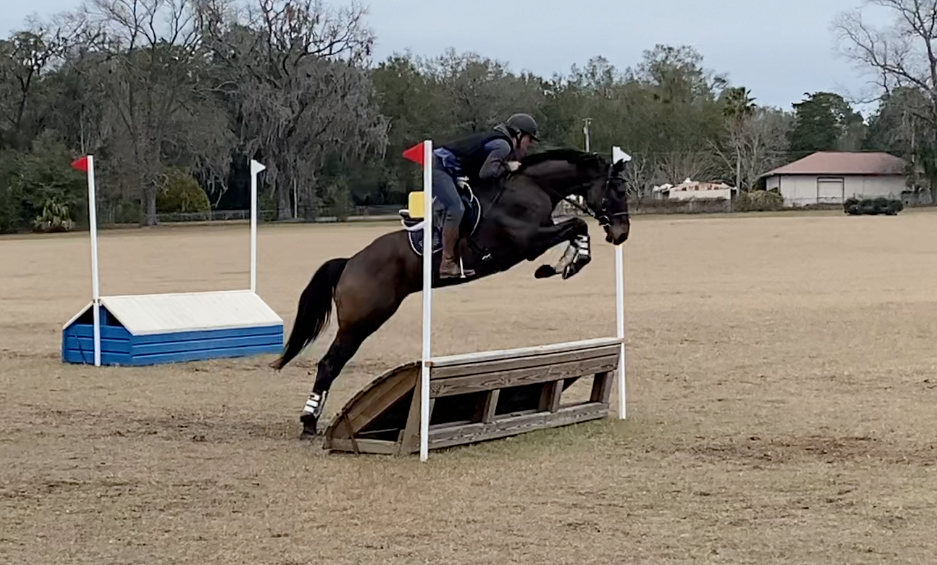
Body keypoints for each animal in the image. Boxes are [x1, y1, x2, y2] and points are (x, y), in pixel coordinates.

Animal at [270, 148, 632, 437]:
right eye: (616, 189)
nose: (621, 234)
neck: (533, 186)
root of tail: (349, 263)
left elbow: (577, 229)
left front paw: (566, 264)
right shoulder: (528, 241)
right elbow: (577, 225)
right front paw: (565, 264)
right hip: (362, 320)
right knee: (330, 364)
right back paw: (308, 422)